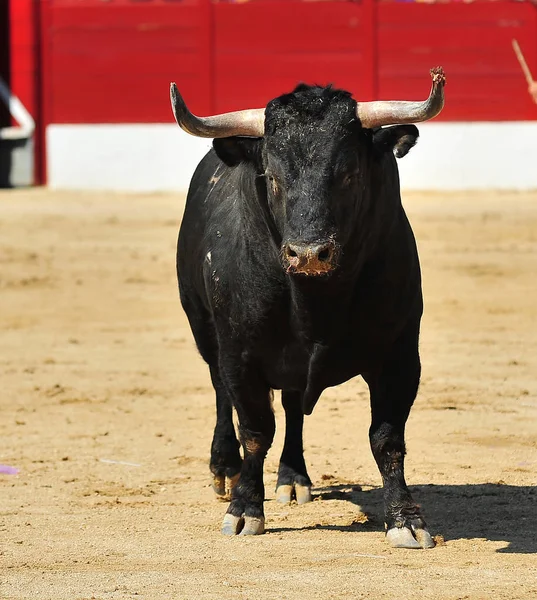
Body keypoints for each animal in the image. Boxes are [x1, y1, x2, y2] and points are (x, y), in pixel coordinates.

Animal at [174, 69, 446, 548]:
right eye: (272, 176)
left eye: (350, 174)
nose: (307, 253)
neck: (316, 301)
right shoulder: (239, 353)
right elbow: (254, 431)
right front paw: (244, 510)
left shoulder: (399, 354)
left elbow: (387, 437)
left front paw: (406, 520)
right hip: (204, 329)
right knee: (222, 394)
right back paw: (224, 468)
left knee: (292, 406)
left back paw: (292, 477)